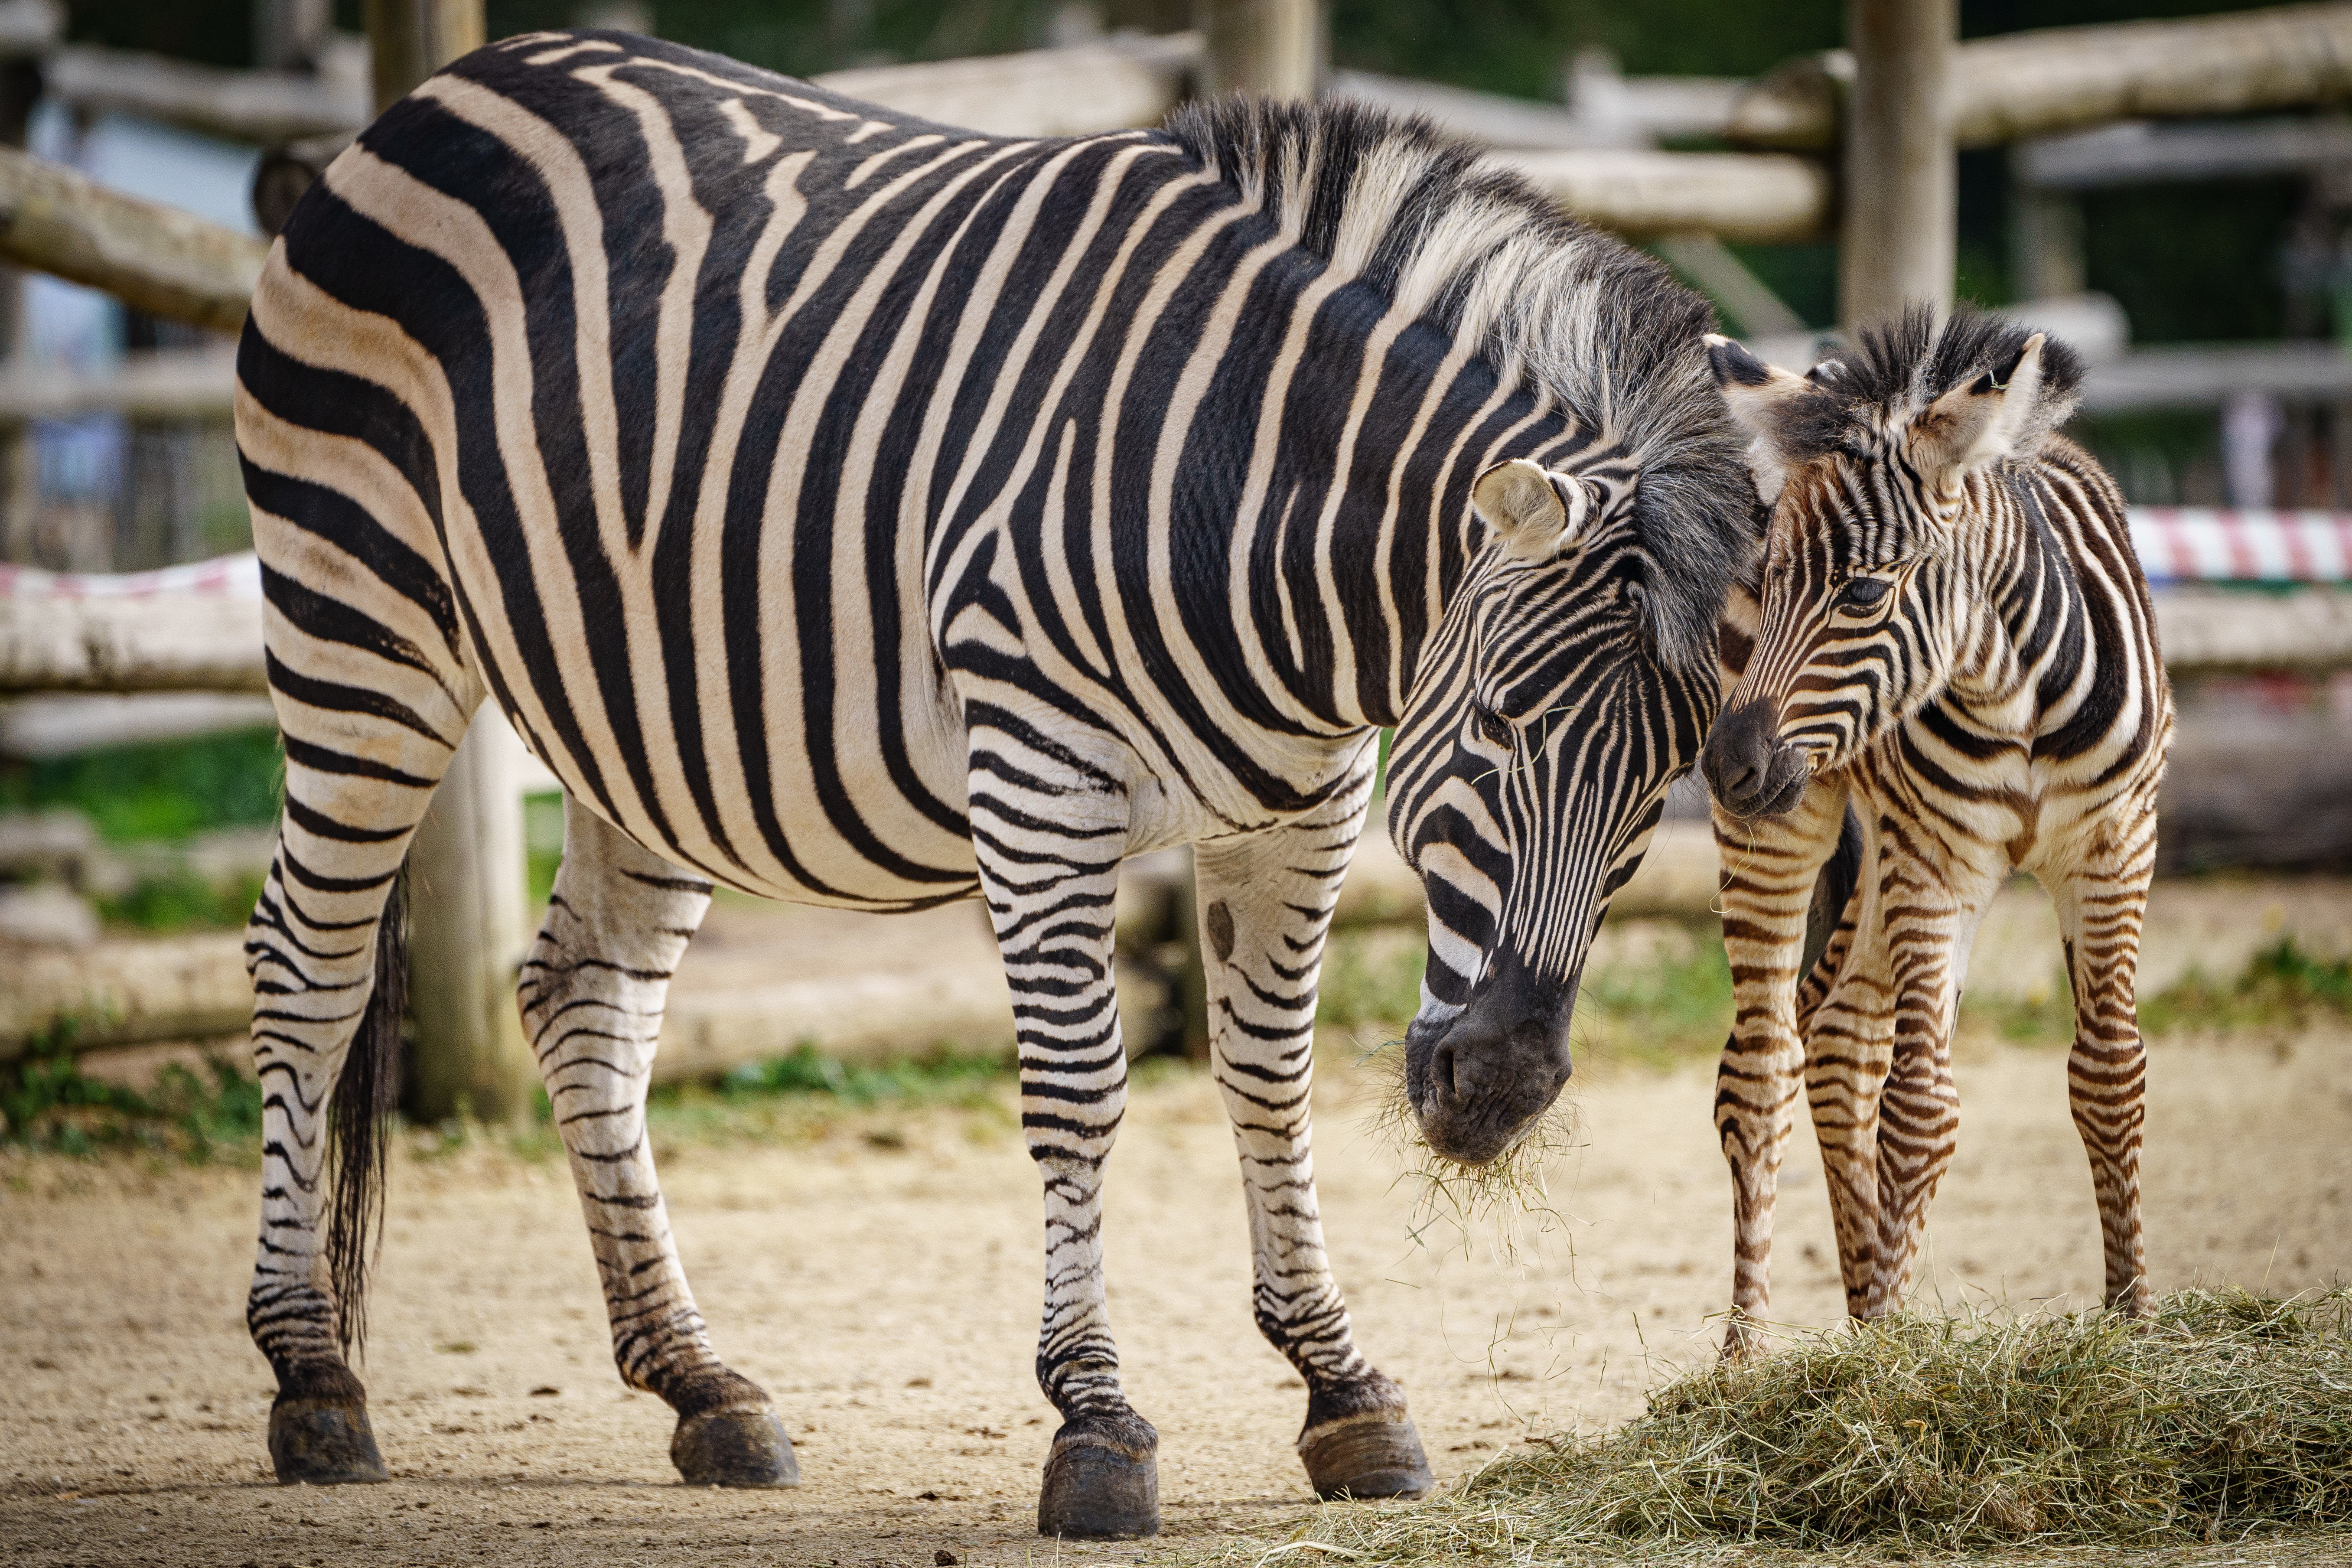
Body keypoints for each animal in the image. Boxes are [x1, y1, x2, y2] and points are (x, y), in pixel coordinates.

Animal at [238, 30, 1759, 1542]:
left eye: (1662, 785)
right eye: (1498, 725)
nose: (1499, 1089)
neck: (1252, 489)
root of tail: (463, 80)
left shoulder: (1300, 803)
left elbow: (1269, 1078)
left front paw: (1343, 1391)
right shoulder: (1039, 770)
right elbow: (1082, 1089)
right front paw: (1095, 1422)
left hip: (640, 716)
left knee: (586, 998)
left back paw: (700, 1384)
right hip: (361, 613)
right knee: (306, 966)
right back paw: (314, 1381)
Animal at [1703, 310, 2173, 1354]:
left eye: (1863, 595)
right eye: (1771, 578)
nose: (1725, 765)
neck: (2016, 692)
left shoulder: (2115, 844)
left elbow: (2111, 1074)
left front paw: (2130, 1320)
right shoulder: (1937, 861)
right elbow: (1920, 1108)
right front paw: (1881, 1348)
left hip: (1882, 854)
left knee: (1839, 1032)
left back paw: (1868, 1314)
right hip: (1797, 831)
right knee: (1762, 1070)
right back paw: (1745, 1359)